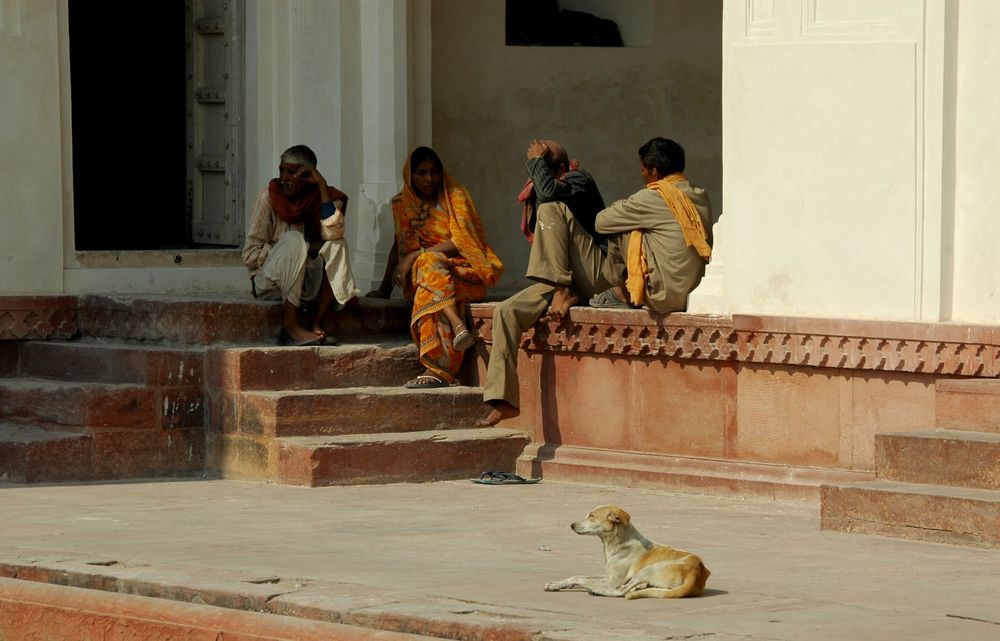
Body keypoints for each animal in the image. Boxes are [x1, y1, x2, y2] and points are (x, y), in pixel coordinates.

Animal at [548, 504, 712, 600]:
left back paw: (597, 590)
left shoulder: (613, 581)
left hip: (648, 569)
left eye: (592, 516)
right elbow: (577, 576)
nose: (571, 525)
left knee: (622, 592)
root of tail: (697, 574)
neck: (619, 542)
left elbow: (582, 579)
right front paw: (555, 585)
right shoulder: (608, 576)